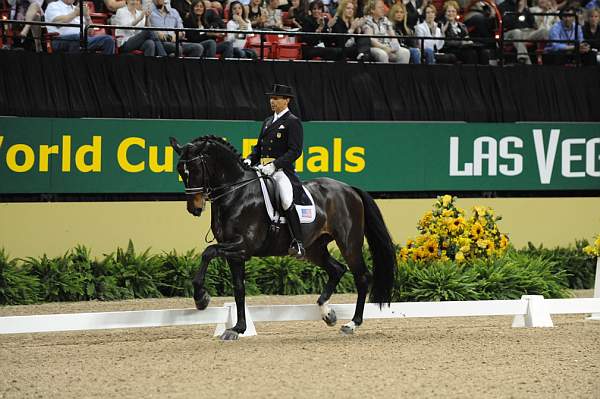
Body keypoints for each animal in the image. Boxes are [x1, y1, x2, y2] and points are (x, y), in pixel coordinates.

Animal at [169, 137, 396, 340]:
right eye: (180, 171)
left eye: (195, 170)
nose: (194, 208)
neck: (236, 192)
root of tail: (349, 189)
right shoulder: (236, 254)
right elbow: (239, 289)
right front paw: (237, 328)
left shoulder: (243, 246)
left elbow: (208, 252)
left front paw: (201, 298)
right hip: (314, 249)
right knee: (337, 269)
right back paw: (327, 314)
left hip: (349, 243)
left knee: (362, 277)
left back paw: (351, 324)